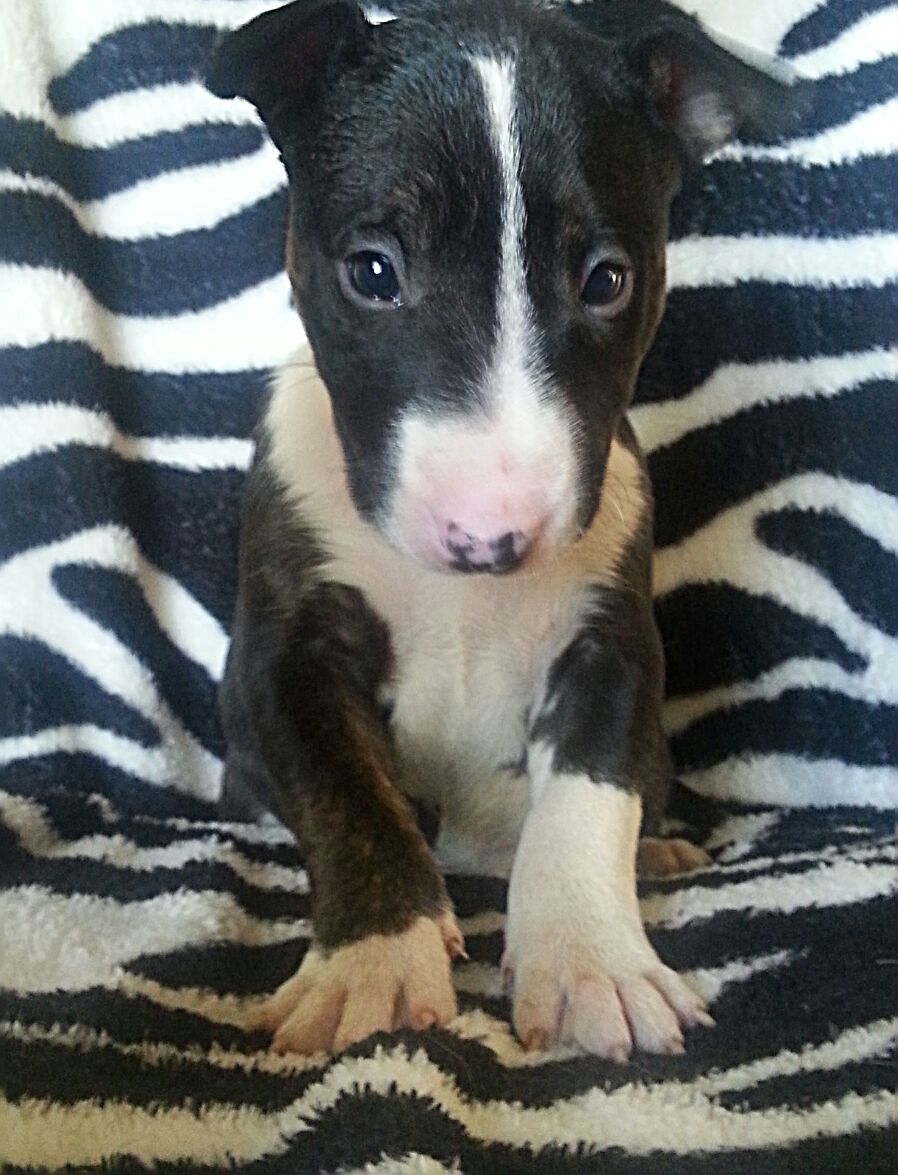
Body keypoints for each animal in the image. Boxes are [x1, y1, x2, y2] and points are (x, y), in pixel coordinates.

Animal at [207, 0, 801, 1059]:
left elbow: (587, 797)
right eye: (372, 271)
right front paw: (373, 962)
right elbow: (347, 796)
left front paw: (592, 960)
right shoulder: (281, 657)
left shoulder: (612, 646)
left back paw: (660, 849)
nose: (490, 534)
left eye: (606, 280)